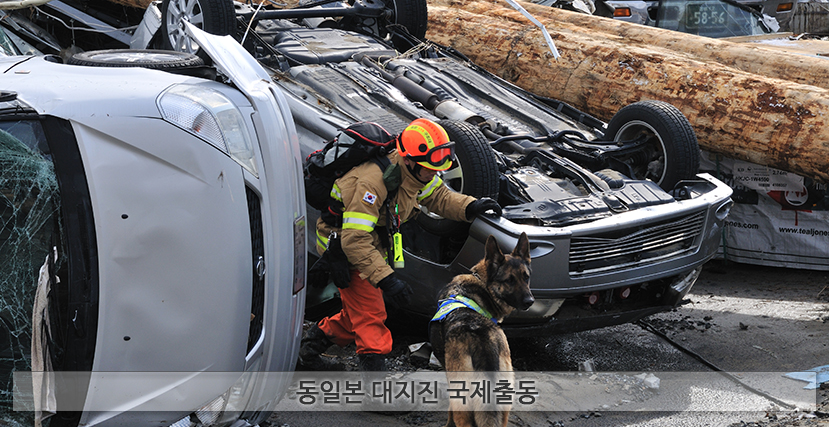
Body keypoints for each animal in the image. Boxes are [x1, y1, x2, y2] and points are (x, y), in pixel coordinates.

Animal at [430, 234, 532, 427]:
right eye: (509, 280)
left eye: (526, 277)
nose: (530, 301)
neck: (483, 284)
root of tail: (484, 342)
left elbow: (450, 411)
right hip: (504, 399)